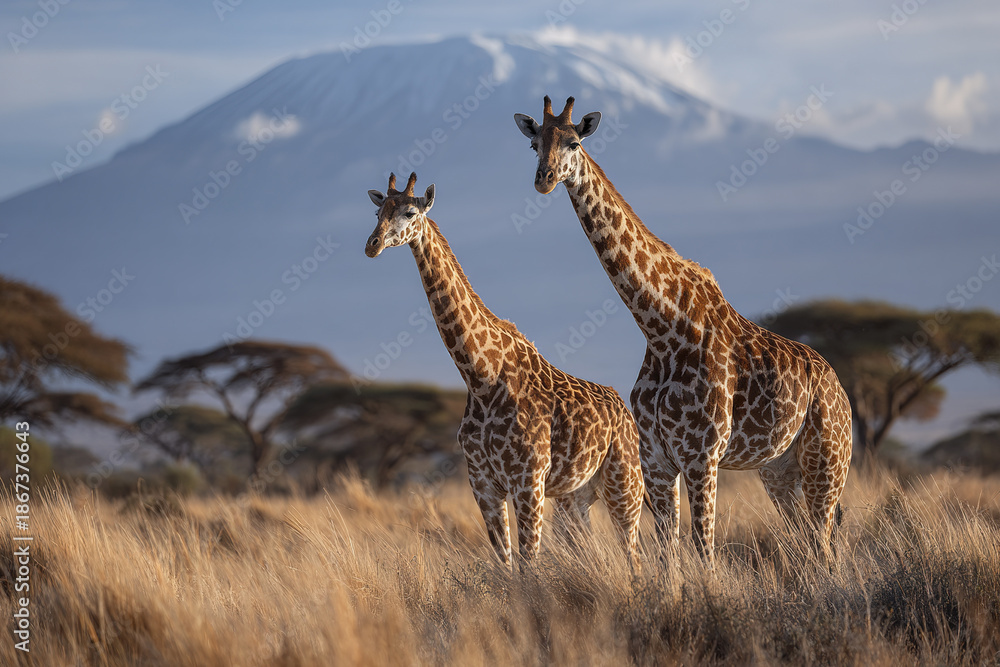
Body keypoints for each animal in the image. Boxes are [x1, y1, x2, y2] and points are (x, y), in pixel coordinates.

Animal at [364, 171, 645, 569]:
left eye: (408, 212)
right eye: (377, 212)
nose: (372, 245)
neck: (481, 377)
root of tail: (624, 408)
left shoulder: (528, 482)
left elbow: (529, 566)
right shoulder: (483, 484)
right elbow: (507, 565)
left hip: (624, 483)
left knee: (634, 556)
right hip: (576, 495)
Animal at [514, 97, 853, 565]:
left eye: (574, 142)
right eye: (534, 144)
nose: (543, 179)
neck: (660, 327)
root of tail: (841, 392)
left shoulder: (701, 456)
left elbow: (704, 548)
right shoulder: (657, 460)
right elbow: (666, 552)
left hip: (827, 461)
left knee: (824, 541)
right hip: (779, 470)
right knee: (810, 538)